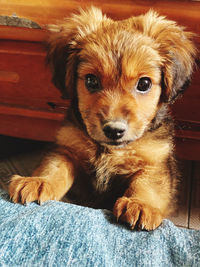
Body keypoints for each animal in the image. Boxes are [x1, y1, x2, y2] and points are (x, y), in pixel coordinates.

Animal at [8, 7, 196, 231]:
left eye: (144, 84)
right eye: (91, 80)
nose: (114, 130)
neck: (110, 150)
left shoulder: (155, 162)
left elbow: (148, 184)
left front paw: (141, 204)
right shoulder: (67, 148)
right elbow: (54, 167)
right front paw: (38, 181)